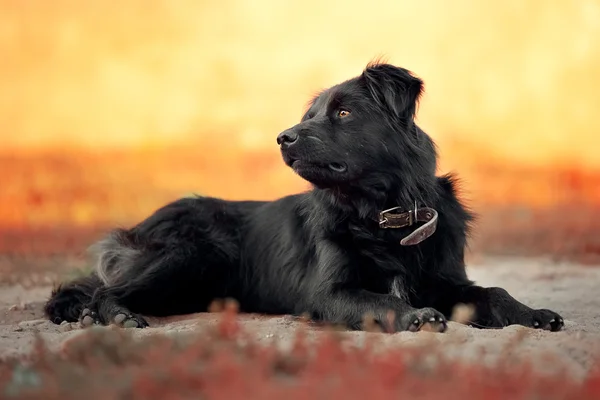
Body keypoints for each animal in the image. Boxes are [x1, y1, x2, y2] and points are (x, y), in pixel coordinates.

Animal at [44, 61, 564, 332]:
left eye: (343, 112)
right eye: (309, 115)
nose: (282, 137)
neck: (381, 214)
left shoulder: (444, 277)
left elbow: (493, 291)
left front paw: (533, 314)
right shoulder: (329, 293)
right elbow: (381, 300)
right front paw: (416, 316)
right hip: (192, 253)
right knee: (103, 292)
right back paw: (116, 316)